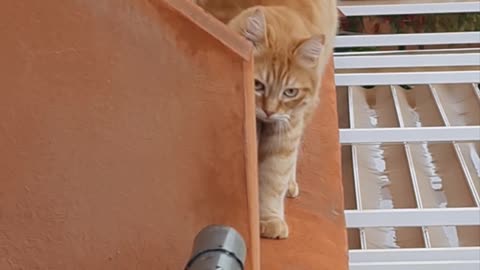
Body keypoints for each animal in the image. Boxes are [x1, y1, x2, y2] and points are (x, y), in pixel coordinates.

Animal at [195, 0, 338, 238]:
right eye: (258, 85)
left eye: (290, 92)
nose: (269, 111)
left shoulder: (287, 130)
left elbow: (274, 175)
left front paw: (269, 218)